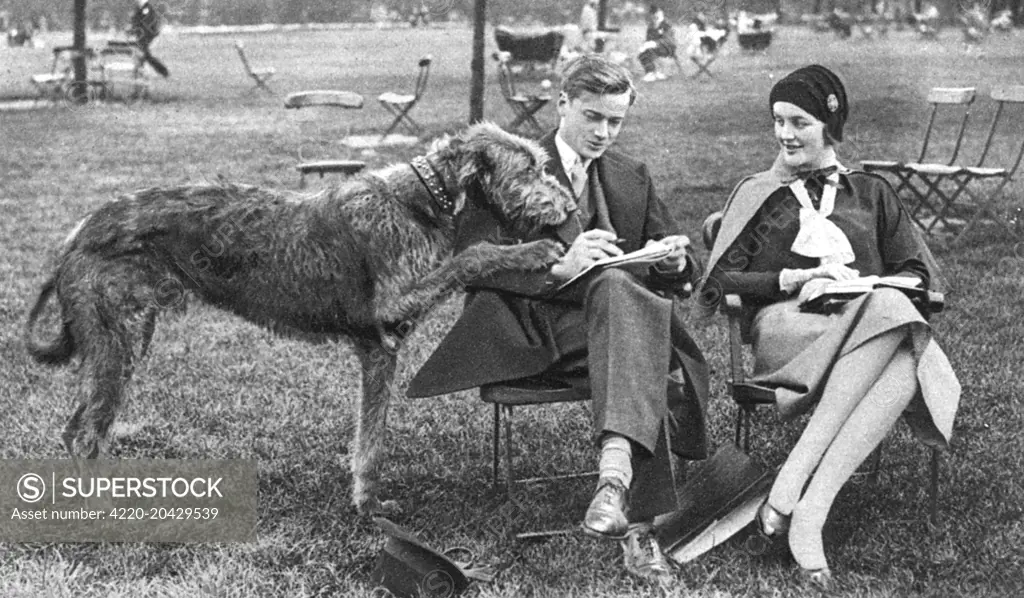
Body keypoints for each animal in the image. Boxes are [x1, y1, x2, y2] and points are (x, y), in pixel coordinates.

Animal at [24, 121, 573, 514]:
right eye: (528, 169)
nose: (568, 206)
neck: (424, 199)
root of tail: (77, 233)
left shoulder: (378, 347)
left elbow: (370, 435)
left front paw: (366, 499)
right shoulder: (389, 318)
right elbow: (473, 255)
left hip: (124, 340)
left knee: (77, 430)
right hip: (118, 340)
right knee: (88, 435)